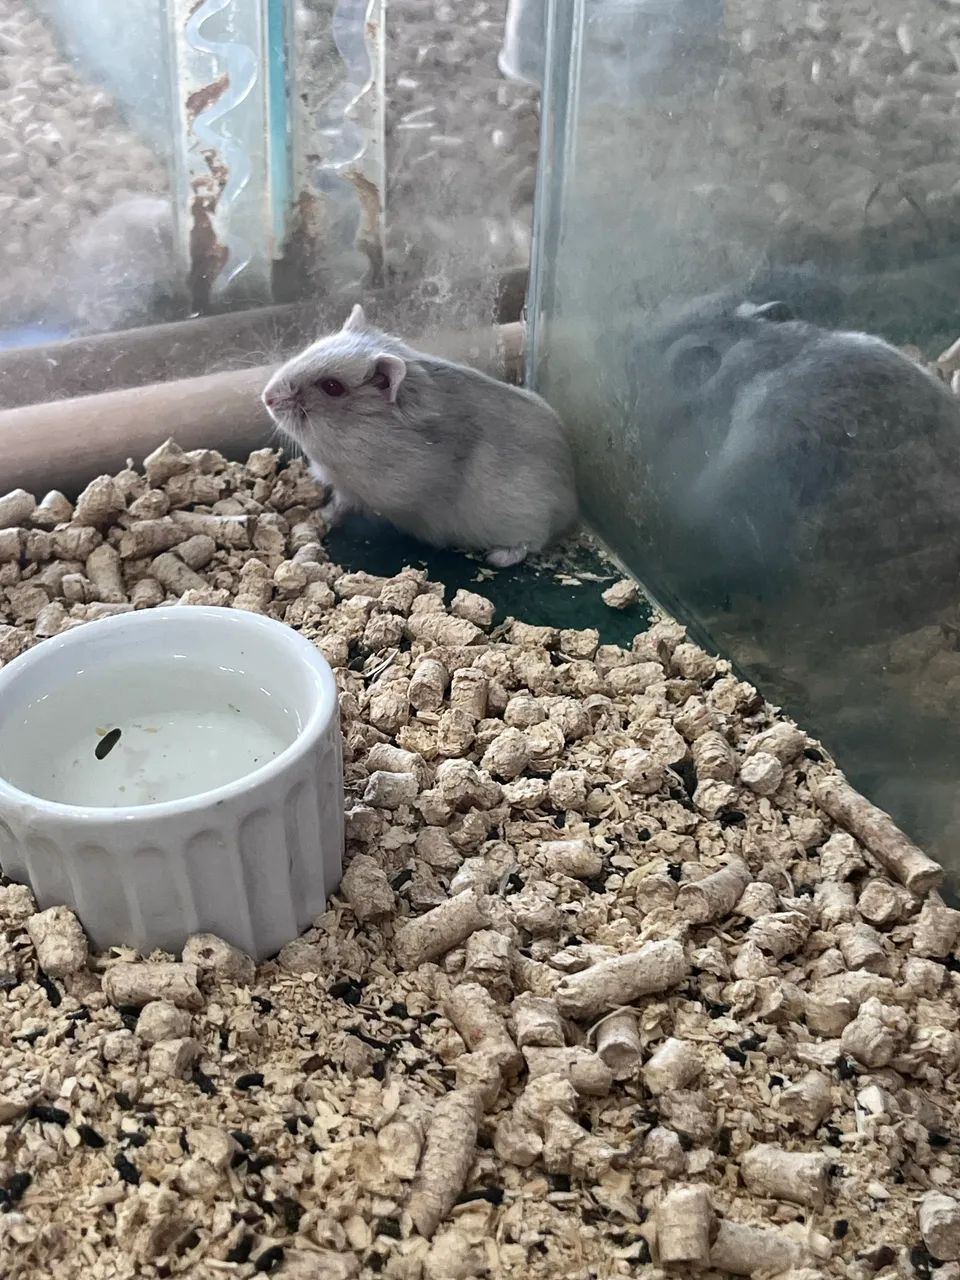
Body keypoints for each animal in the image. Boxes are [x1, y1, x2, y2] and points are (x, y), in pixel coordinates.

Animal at [262, 305, 578, 566]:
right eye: (311, 347)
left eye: (332, 387)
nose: (266, 398)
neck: (361, 429)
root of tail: (573, 502)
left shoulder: (367, 490)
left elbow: (341, 504)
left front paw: (318, 517)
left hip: (527, 518)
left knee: (532, 542)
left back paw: (498, 558)